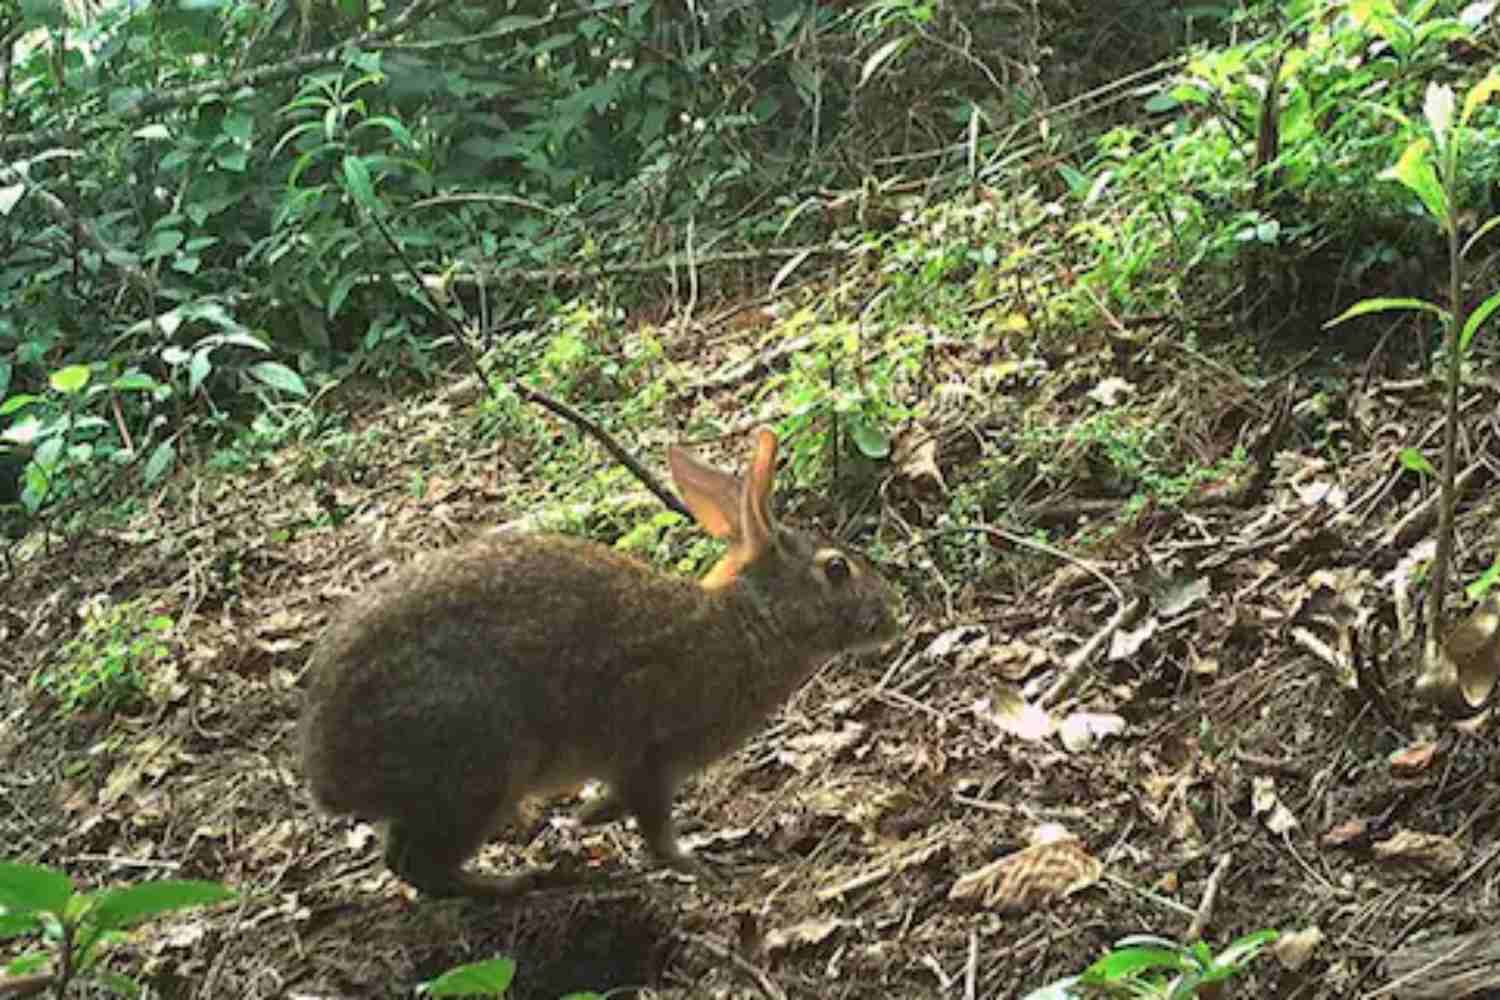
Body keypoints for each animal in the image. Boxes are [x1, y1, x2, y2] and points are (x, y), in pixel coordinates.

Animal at [299, 427, 902, 898]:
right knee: (416, 864)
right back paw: (513, 882)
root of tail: (328, 769)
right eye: (837, 570)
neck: (751, 623)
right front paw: (696, 863)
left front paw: (587, 816)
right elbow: (655, 828)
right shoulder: (650, 754)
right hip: (482, 762)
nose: (891, 613)